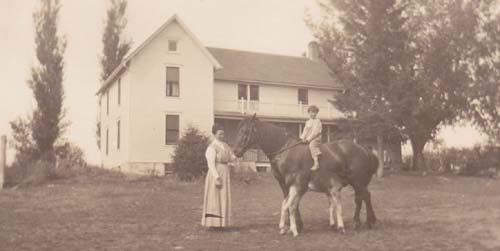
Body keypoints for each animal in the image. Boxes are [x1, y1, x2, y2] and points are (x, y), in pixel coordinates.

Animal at [232, 114, 376, 236]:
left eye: (246, 131)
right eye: (238, 129)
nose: (236, 151)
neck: (284, 150)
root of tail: (363, 149)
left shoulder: (294, 182)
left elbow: (292, 203)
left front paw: (296, 226)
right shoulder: (284, 183)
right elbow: (288, 201)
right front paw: (292, 226)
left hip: (358, 181)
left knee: (364, 196)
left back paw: (366, 222)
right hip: (357, 182)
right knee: (361, 197)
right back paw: (363, 222)